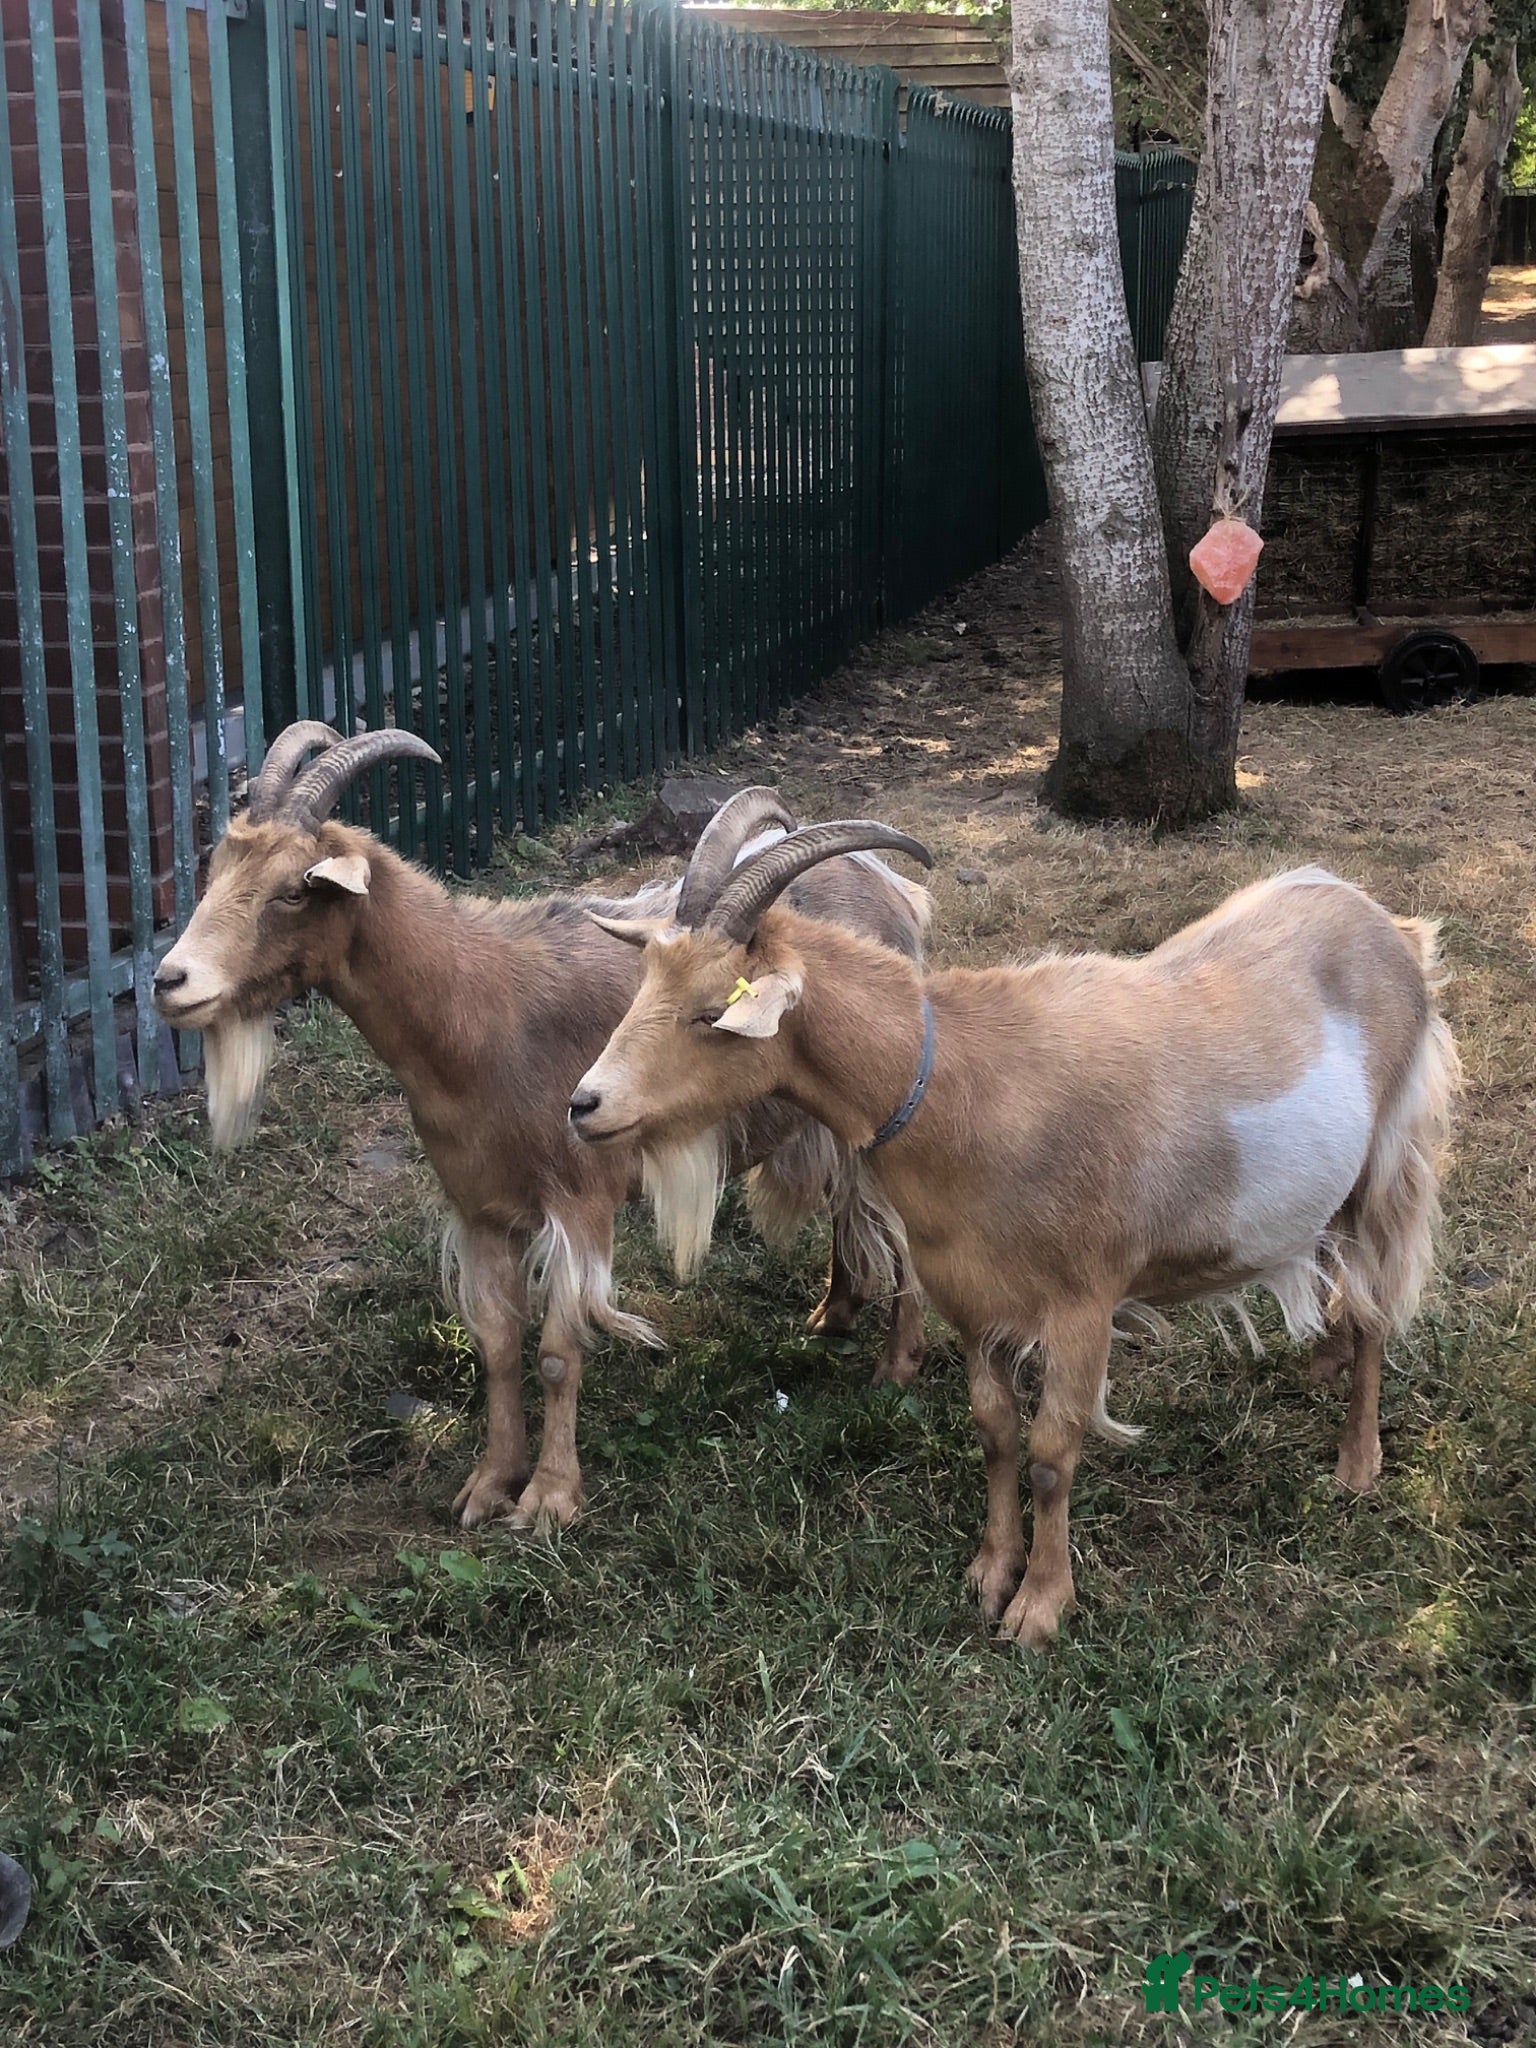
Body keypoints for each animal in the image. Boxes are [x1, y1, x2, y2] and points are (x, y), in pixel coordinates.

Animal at [153, 730, 929, 1531]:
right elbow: (496, 1346)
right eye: (217, 869)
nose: (171, 982)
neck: (479, 1009)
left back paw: (895, 1367)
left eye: (293, 890)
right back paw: (835, 1311)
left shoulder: (578, 1201)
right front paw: (489, 1484)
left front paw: (550, 1499)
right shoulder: (482, 1209)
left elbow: (558, 1352)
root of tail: (896, 891)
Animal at [569, 824, 1459, 1649]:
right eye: (647, 983)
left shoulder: (1083, 1302)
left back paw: (1357, 1461)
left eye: (710, 1012)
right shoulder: (972, 1300)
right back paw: (1323, 1362)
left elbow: (1051, 1453)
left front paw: (1040, 1607)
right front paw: (990, 1572)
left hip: (1386, 1160)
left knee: (1377, 1302)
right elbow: (995, 1432)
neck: (965, 1085)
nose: (584, 1105)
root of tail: (1386, 922)